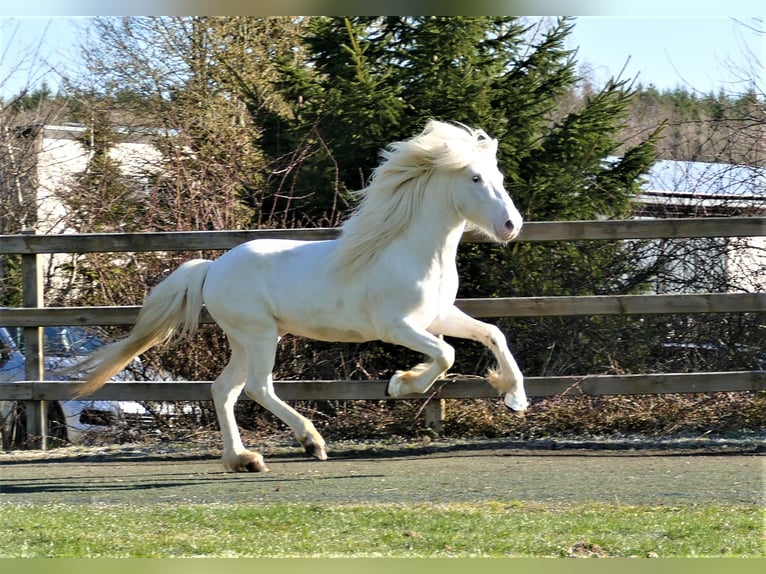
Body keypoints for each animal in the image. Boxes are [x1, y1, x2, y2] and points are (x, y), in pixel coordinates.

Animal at [75, 120, 528, 472]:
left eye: (501, 178)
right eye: (474, 178)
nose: (511, 226)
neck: (410, 251)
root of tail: (212, 268)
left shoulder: (437, 316)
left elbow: (492, 334)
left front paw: (514, 397)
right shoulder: (397, 326)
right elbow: (446, 355)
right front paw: (401, 385)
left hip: (246, 339)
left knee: (224, 389)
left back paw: (244, 460)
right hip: (259, 334)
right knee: (258, 387)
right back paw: (311, 442)